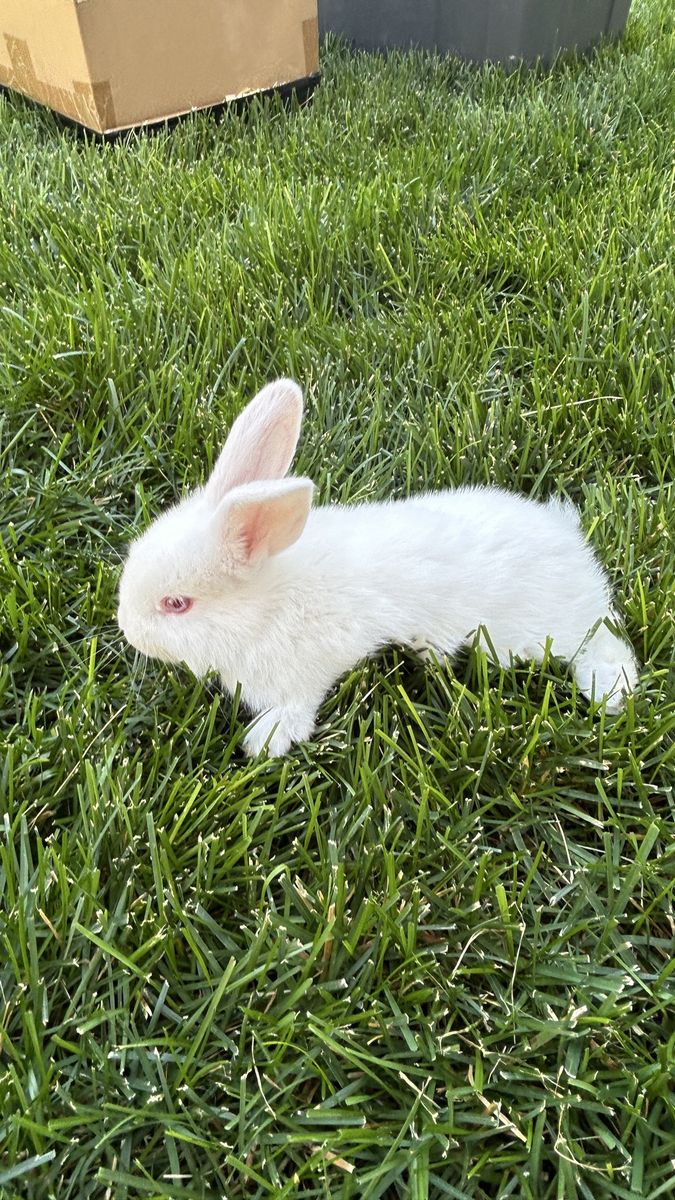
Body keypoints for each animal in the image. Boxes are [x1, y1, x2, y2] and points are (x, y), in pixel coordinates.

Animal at [117, 378, 639, 757]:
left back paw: (610, 693)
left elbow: (296, 710)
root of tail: (570, 540)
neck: (264, 605)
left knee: (606, 647)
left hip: (555, 625)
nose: (126, 628)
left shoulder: (305, 673)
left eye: (176, 604)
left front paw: (264, 742)